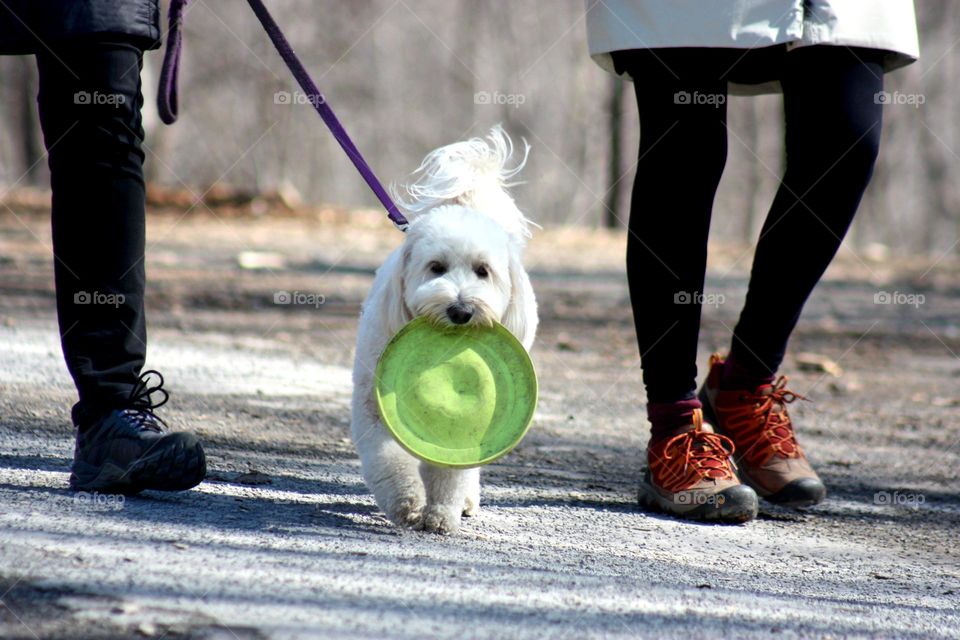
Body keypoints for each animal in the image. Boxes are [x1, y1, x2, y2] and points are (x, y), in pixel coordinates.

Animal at [348, 126, 536, 536]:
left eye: (483, 271)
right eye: (436, 267)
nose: (461, 310)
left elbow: (452, 469)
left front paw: (441, 514)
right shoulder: (372, 406)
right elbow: (387, 457)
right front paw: (407, 502)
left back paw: (465, 500)